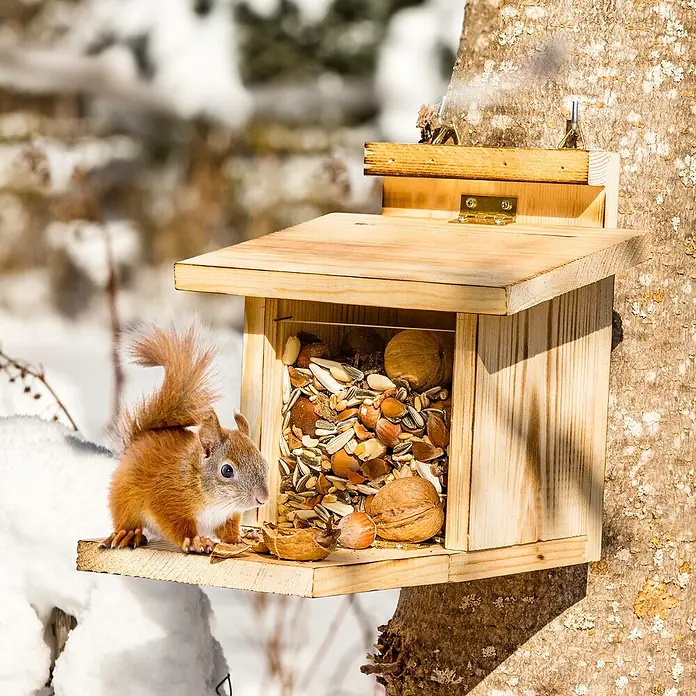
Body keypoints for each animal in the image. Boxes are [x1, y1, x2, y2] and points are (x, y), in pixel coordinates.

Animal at [102, 324, 270, 554]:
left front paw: (237, 539)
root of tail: (138, 441)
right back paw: (128, 533)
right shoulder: (167, 499)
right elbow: (178, 526)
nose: (263, 499)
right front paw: (196, 541)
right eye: (227, 470)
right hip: (125, 495)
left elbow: (228, 529)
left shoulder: (227, 515)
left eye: (265, 463)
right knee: (125, 517)